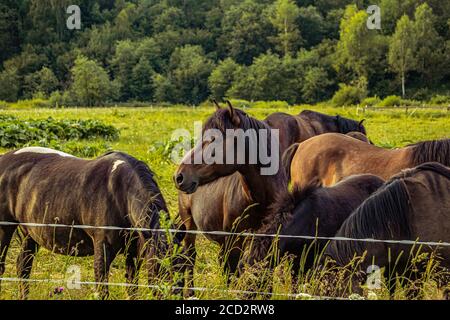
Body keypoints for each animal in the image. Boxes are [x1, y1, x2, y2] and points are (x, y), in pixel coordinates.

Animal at [0, 146, 185, 298]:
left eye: (182, 267)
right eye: (160, 267)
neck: (120, 193)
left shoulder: (133, 252)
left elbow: (132, 287)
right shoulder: (102, 249)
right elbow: (102, 290)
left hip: (30, 233)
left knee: (23, 267)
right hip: (5, 229)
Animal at [172, 102, 366, 296]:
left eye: (214, 139)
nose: (179, 176)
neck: (257, 200)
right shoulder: (235, 244)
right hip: (190, 225)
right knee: (189, 258)